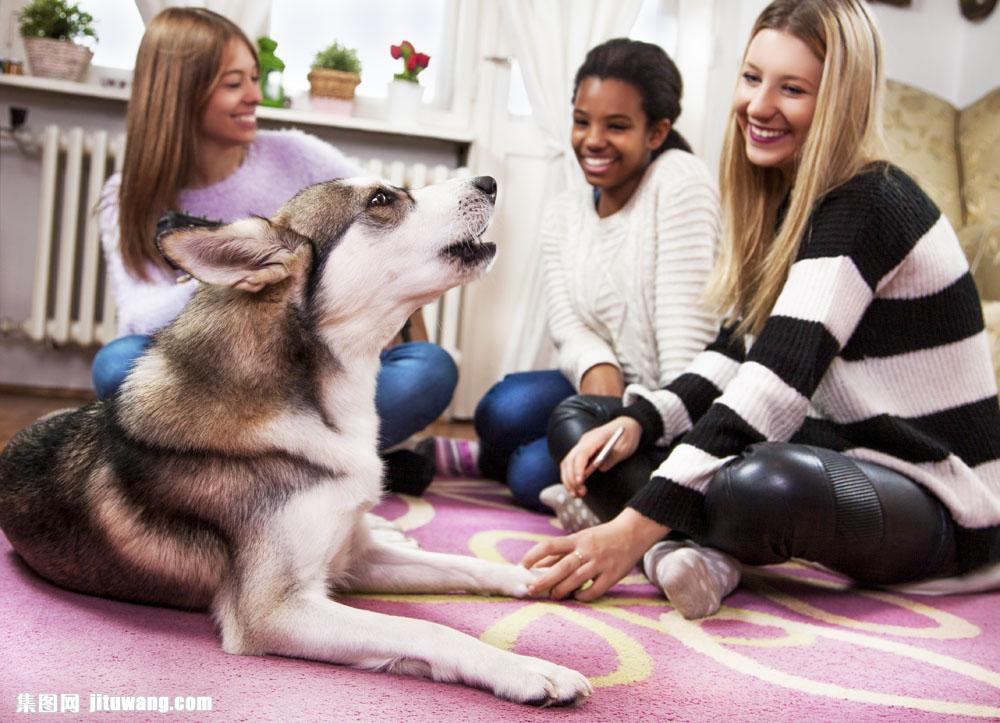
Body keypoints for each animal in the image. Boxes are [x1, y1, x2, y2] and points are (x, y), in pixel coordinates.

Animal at [0, 175, 588, 708]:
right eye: (382, 198)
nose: (489, 181)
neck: (325, 406)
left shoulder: (350, 557)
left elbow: (463, 565)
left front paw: (534, 575)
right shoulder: (276, 612)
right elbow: (426, 630)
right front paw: (527, 669)